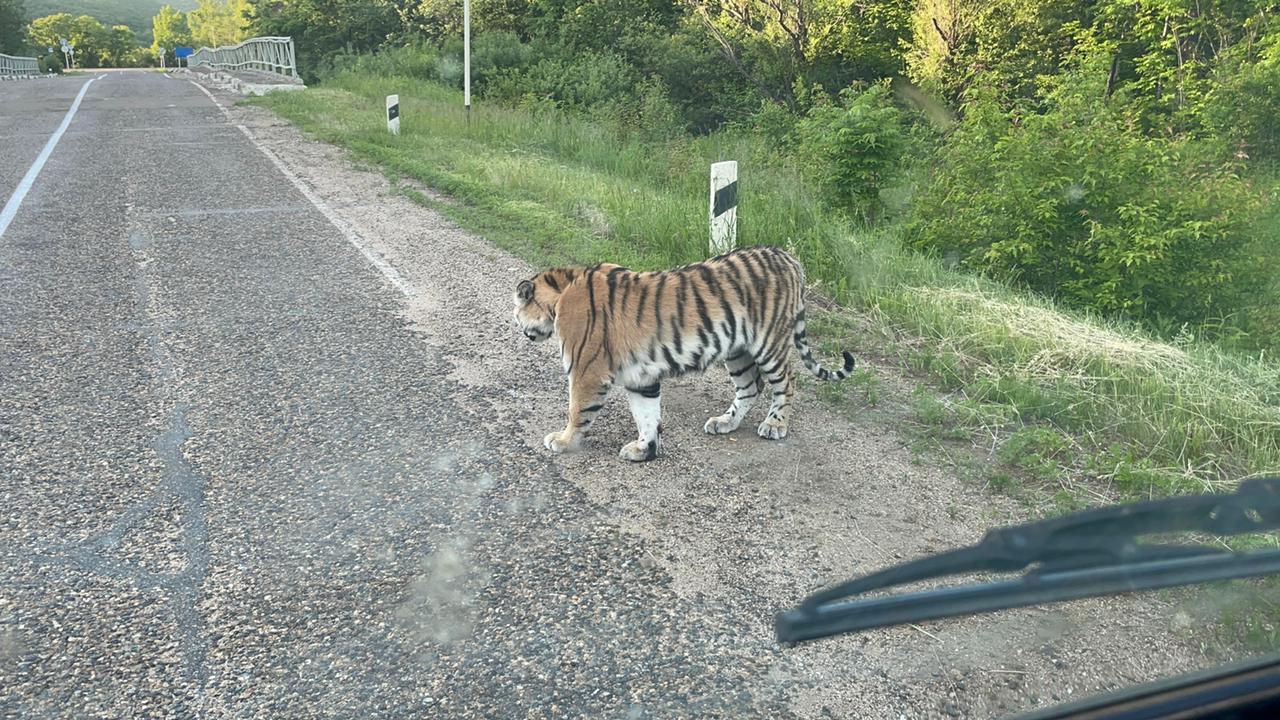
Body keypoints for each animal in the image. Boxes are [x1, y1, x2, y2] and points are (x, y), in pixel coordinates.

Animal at [512, 244, 860, 458]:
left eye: (517, 312)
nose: (522, 330)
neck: (559, 294)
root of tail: (787, 257)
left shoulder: (587, 371)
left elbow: (577, 410)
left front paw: (563, 441)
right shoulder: (641, 377)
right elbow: (647, 415)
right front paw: (645, 450)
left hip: (769, 343)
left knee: (786, 383)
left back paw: (775, 425)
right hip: (737, 351)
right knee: (751, 387)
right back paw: (725, 422)